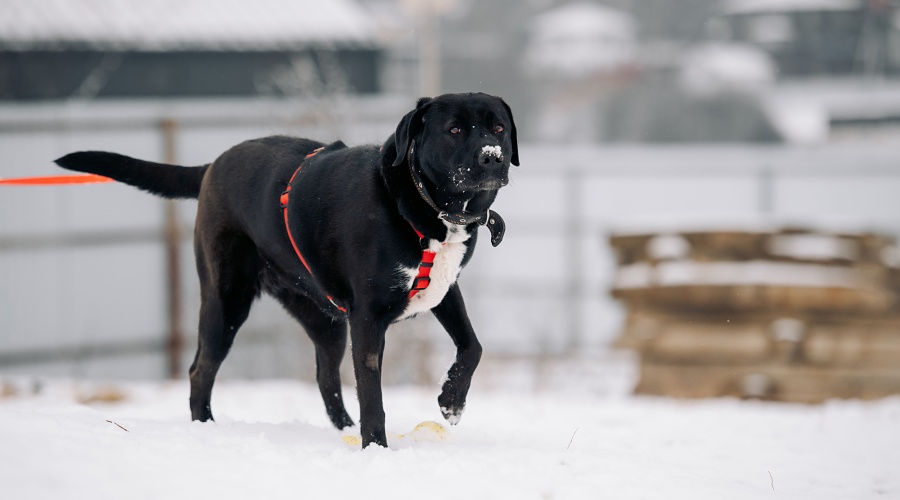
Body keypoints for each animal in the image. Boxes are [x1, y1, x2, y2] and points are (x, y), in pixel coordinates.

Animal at [55, 92, 519, 448]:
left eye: (498, 128)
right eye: (454, 130)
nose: (493, 158)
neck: (421, 204)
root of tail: (212, 166)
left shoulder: (443, 289)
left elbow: (473, 347)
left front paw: (452, 401)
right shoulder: (368, 319)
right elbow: (373, 395)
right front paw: (375, 448)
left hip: (324, 318)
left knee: (325, 377)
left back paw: (343, 429)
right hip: (227, 301)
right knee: (201, 369)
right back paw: (206, 427)